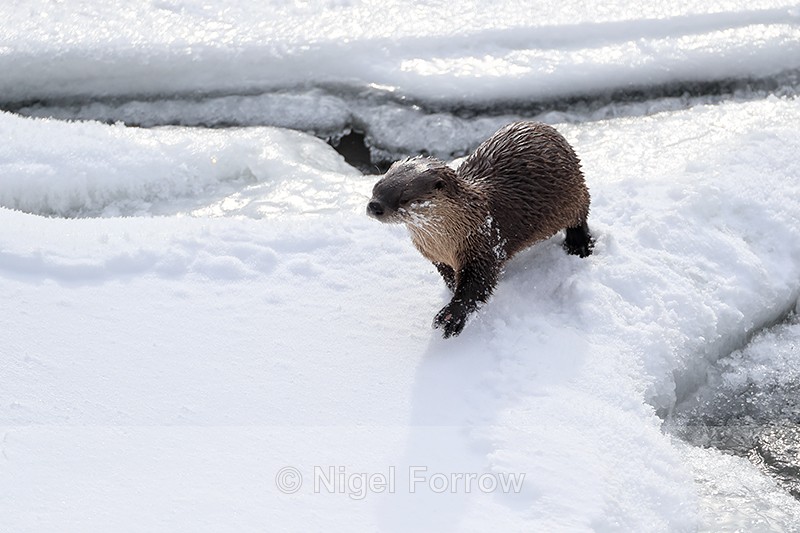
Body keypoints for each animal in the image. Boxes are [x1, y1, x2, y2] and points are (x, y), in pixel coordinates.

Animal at [367, 121, 593, 338]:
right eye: (376, 186)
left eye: (405, 198)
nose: (374, 205)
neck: (447, 241)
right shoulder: (436, 256)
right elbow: (451, 277)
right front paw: (452, 290)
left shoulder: (483, 244)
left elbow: (476, 285)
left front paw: (452, 316)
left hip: (574, 192)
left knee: (581, 214)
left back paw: (580, 245)